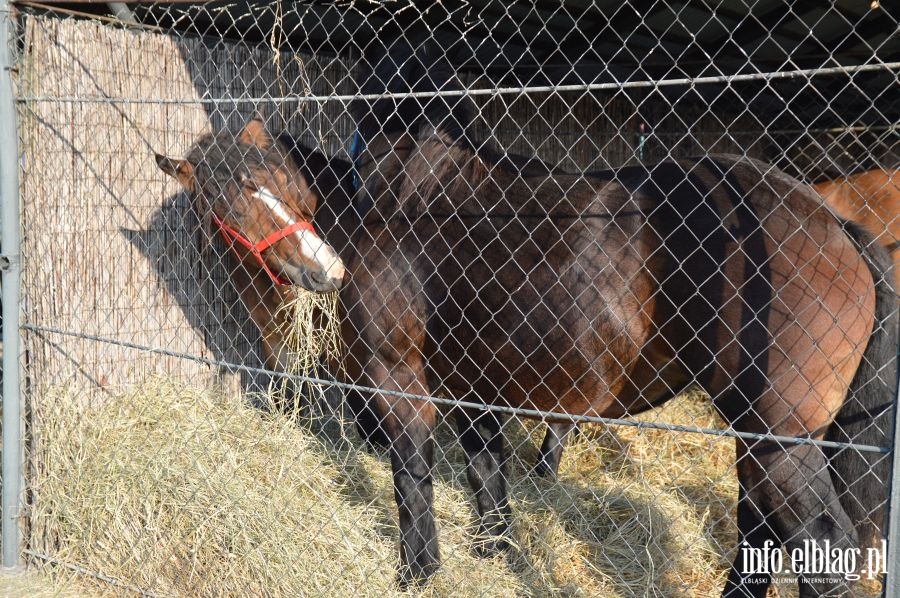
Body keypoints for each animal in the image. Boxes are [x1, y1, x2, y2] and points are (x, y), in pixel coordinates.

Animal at [342, 39, 892, 596]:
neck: (416, 196)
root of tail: (835, 222)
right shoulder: (473, 387)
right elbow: (486, 473)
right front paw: (494, 551)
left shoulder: (396, 374)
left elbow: (412, 480)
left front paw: (418, 572)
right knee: (761, 527)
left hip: (778, 436)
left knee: (818, 543)